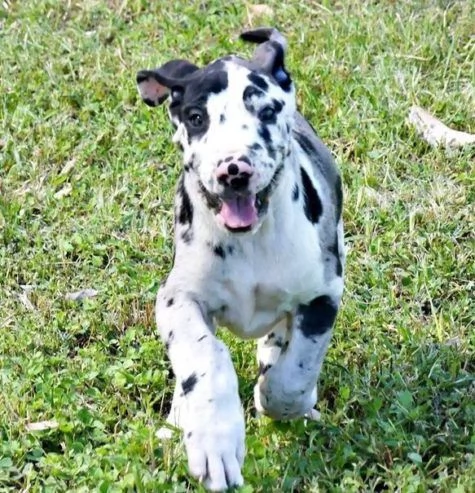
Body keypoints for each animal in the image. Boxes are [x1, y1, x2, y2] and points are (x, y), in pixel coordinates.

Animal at [136, 27, 344, 492]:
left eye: (266, 111)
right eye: (197, 118)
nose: (234, 170)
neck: (251, 241)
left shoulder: (323, 295)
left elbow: (295, 372)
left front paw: (277, 400)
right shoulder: (178, 299)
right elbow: (205, 356)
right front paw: (214, 439)